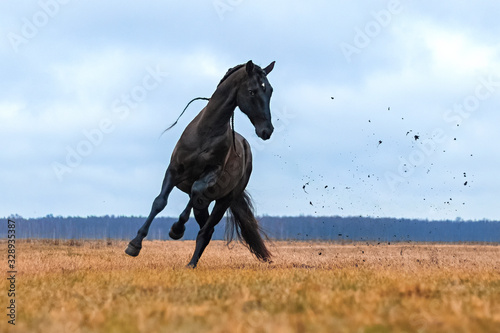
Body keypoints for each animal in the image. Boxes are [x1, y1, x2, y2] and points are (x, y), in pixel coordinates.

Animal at [124, 59, 274, 268]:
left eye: (270, 91)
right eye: (252, 91)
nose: (267, 131)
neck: (206, 131)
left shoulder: (209, 175)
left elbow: (195, 191)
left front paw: (176, 229)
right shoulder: (173, 171)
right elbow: (159, 202)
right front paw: (134, 245)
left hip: (224, 200)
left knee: (206, 229)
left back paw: (191, 263)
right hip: (205, 204)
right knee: (205, 226)